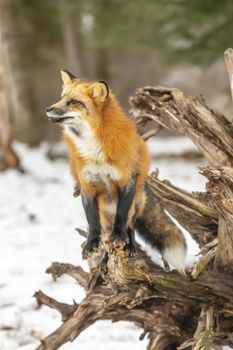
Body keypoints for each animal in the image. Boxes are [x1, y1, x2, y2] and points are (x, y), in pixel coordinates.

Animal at [46, 70, 186, 274]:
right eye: (62, 98)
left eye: (73, 102)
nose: (48, 109)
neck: (94, 150)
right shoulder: (87, 185)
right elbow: (92, 222)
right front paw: (91, 244)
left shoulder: (127, 180)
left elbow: (122, 217)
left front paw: (120, 237)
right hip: (104, 210)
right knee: (103, 228)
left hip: (137, 201)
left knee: (130, 225)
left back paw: (130, 245)